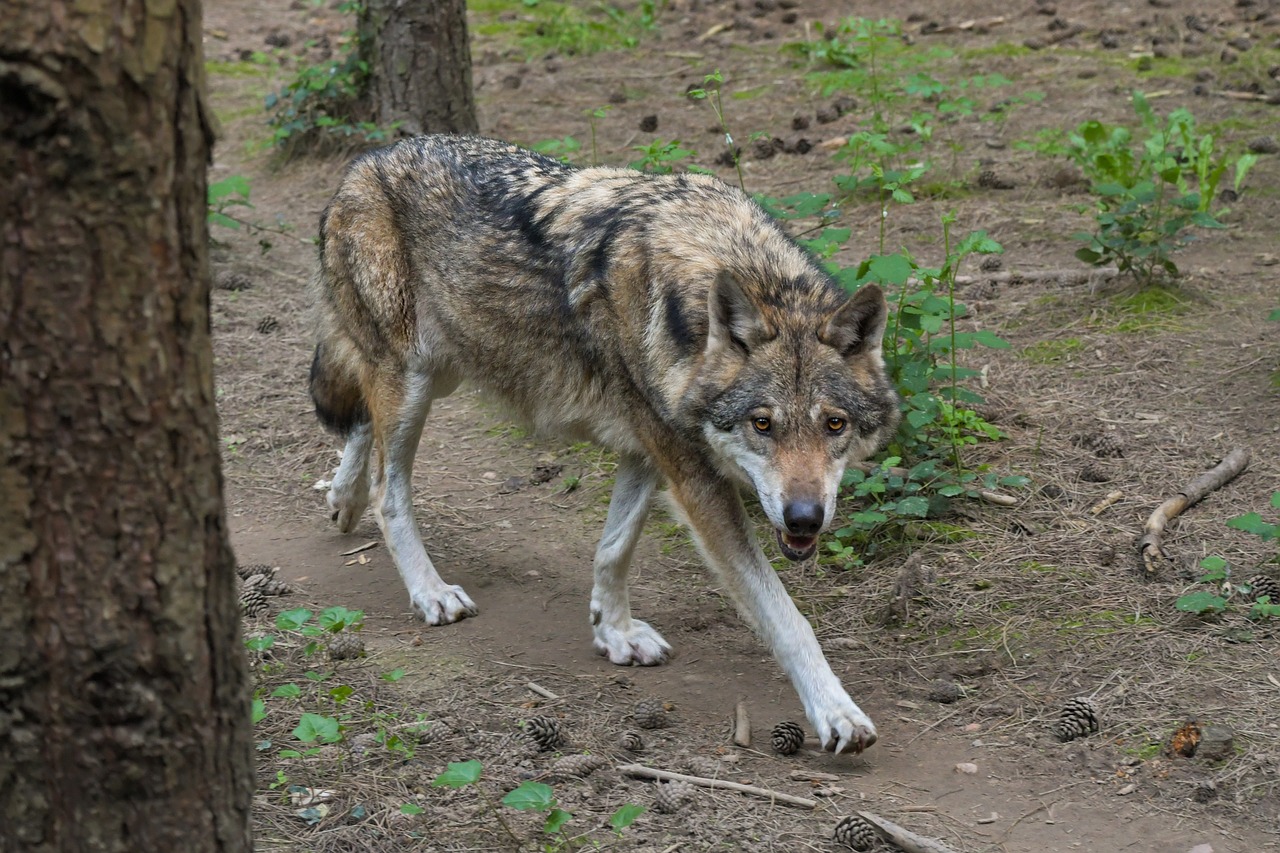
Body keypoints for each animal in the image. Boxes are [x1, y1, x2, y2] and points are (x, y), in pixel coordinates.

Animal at [308, 134, 901, 753]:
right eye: (762, 425)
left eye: (834, 425)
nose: (805, 518)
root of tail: (366, 161)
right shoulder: (692, 476)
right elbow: (786, 617)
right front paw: (836, 712)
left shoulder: (647, 449)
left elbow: (614, 549)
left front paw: (613, 634)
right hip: (415, 381)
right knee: (389, 489)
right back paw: (428, 590)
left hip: (443, 369)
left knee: (359, 423)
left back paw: (343, 498)